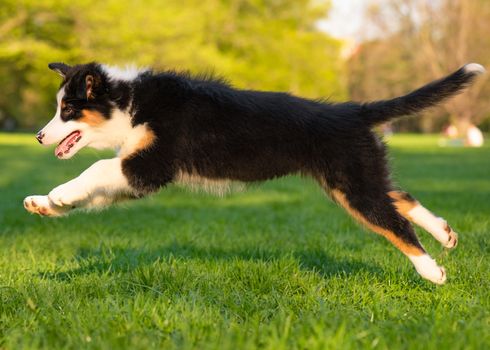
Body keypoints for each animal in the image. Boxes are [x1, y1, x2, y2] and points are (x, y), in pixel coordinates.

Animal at [25, 60, 486, 284]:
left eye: (68, 110)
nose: (38, 136)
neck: (131, 103)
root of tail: (353, 111)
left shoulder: (149, 164)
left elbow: (97, 168)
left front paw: (59, 194)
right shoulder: (135, 172)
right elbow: (95, 188)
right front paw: (45, 203)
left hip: (352, 183)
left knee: (393, 222)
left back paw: (432, 271)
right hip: (355, 177)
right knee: (399, 197)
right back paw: (445, 234)